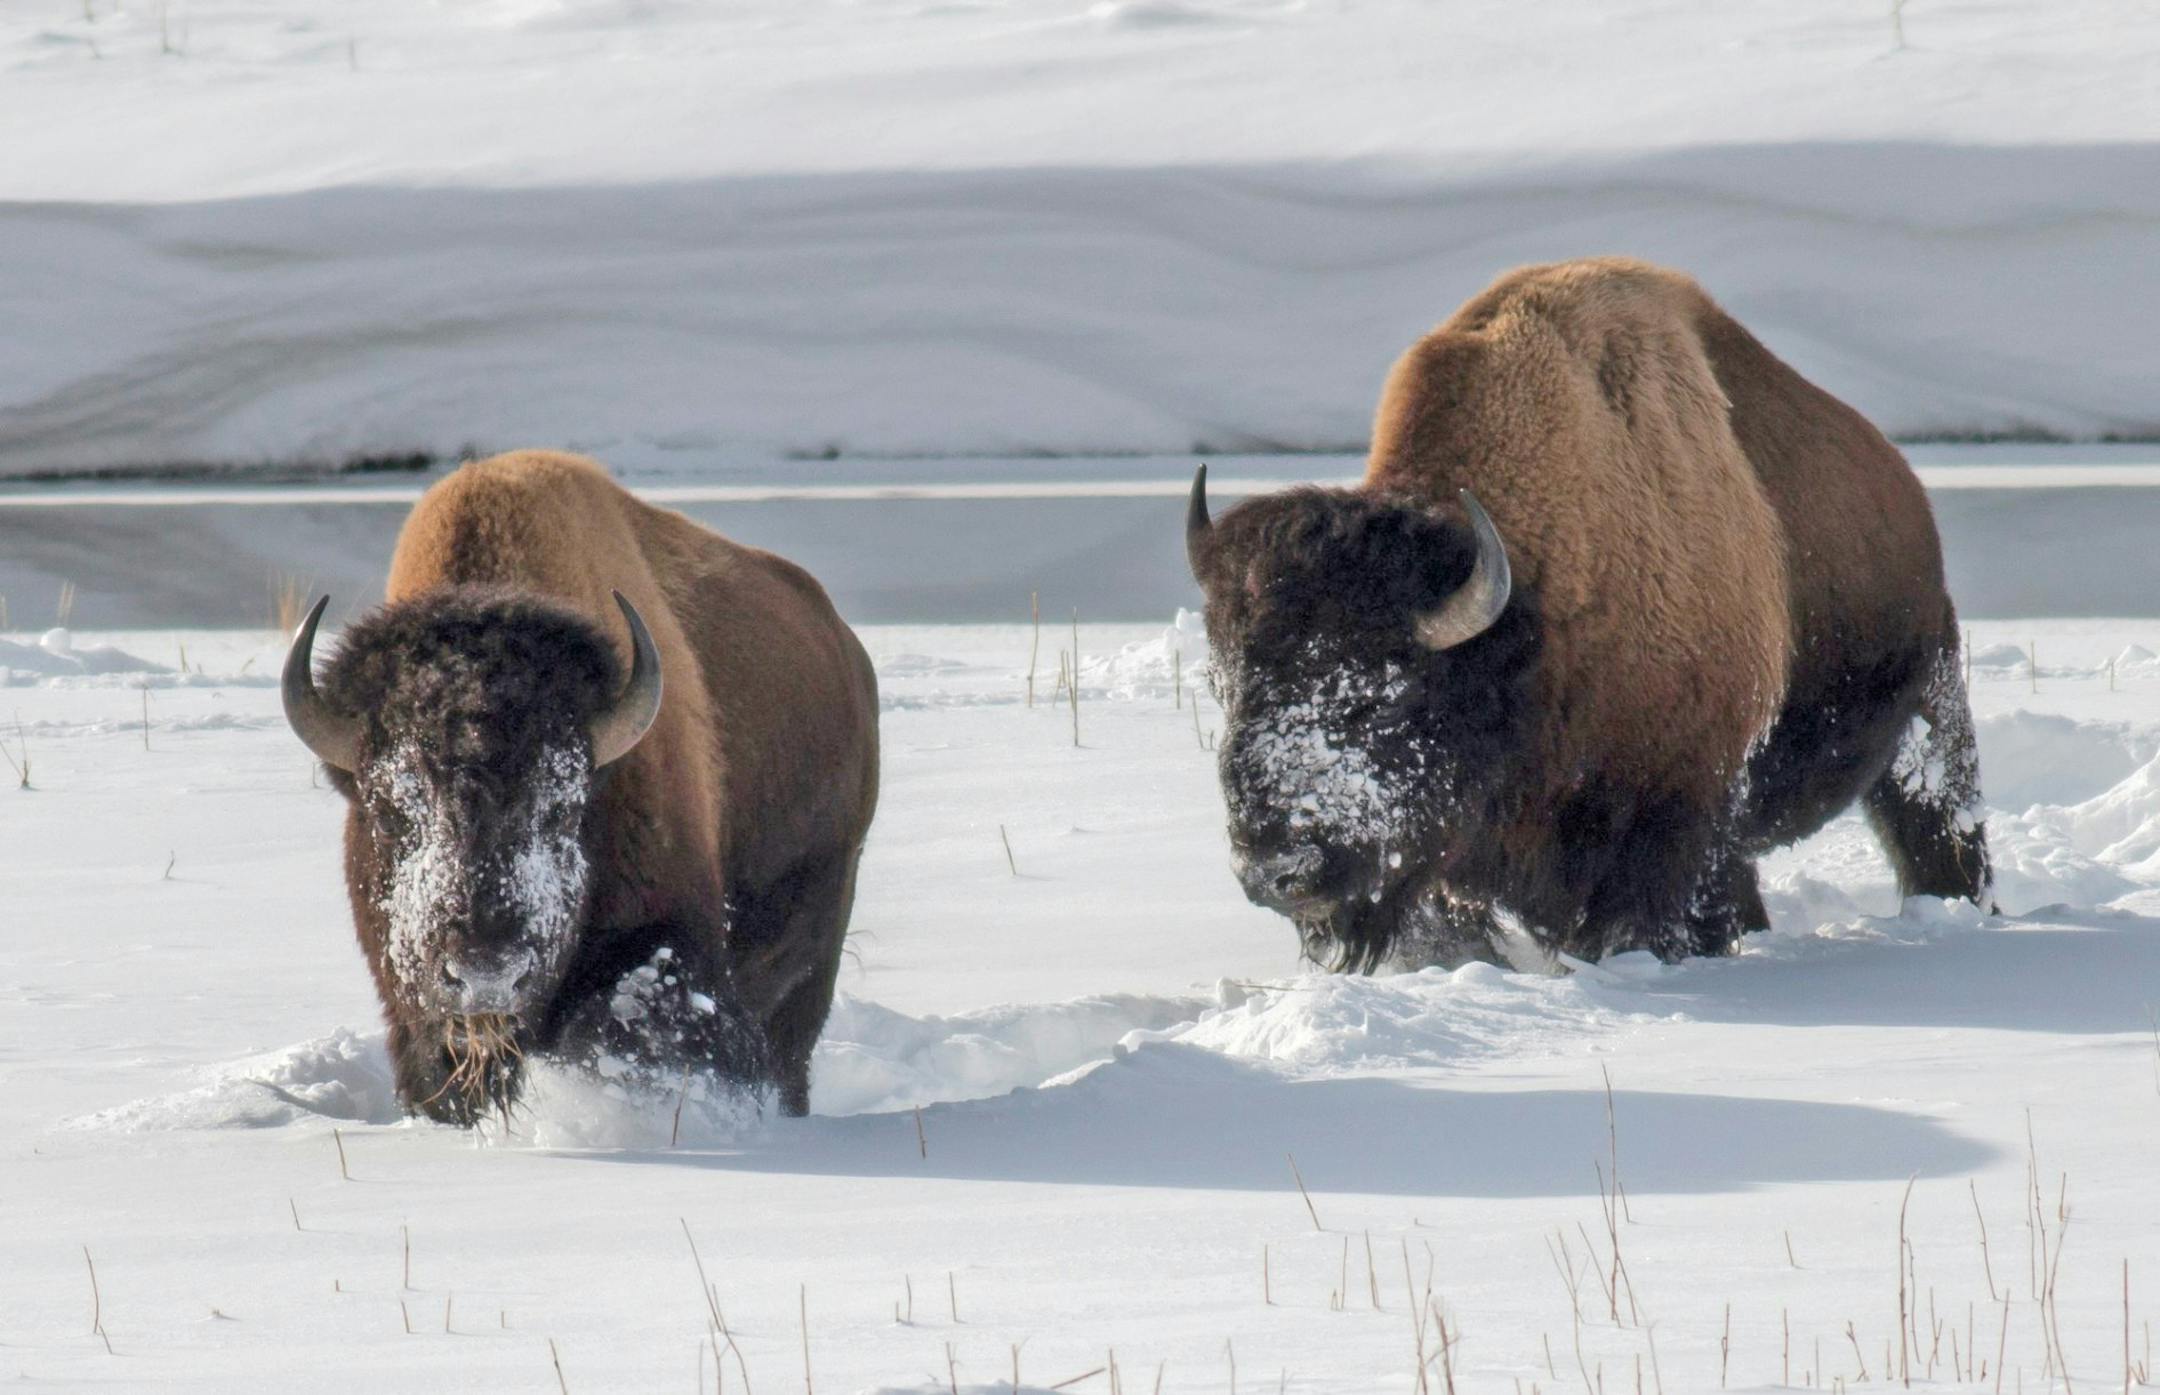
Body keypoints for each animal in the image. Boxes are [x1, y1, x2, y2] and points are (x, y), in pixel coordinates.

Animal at [1187, 257, 1991, 971]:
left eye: (1381, 699)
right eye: (1227, 690)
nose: (1273, 870)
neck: (1534, 612)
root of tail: (1904, 485)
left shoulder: (1676, 819)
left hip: (1930, 722)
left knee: (1943, 832)